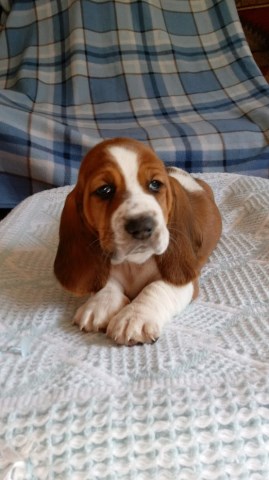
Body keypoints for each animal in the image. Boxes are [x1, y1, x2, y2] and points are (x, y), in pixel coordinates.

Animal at [53, 138, 221, 344]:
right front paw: (100, 304)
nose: (141, 225)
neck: (134, 264)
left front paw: (133, 318)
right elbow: (106, 283)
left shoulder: (185, 282)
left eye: (155, 184)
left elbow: (156, 288)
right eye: (104, 190)